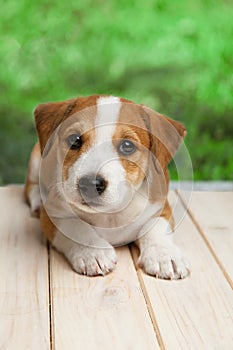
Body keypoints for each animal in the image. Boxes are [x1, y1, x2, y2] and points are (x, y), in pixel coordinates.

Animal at [24, 94, 190, 280]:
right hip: (36, 160)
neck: (111, 214)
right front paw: (92, 252)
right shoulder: (52, 214)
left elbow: (155, 229)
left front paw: (164, 254)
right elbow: (76, 226)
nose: (90, 184)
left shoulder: (161, 208)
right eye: (75, 139)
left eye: (127, 146)